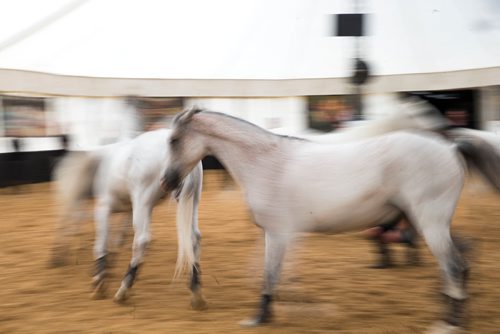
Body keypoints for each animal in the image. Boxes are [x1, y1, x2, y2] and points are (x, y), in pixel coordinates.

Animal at [50, 128, 207, 308]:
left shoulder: (104, 208)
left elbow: (101, 243)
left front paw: (99, 281)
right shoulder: (127, 211)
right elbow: (116, 240)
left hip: (144, 203)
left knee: (142, 240)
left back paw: (123, 289)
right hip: (190, 200)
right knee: (193, 237)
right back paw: (196, 291)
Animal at [162, 108, 500, 332]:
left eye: (174, 140)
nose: (168, 183)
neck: (266, 164)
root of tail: (450, 146)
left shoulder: (278, 232)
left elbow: (268, 274)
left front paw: (259, 317)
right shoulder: (281, 234)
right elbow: (271, 272)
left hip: (430, 223)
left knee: (454, 265)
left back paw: (449, 323)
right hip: (430, 223)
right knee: (461, 260)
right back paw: (453, 315)